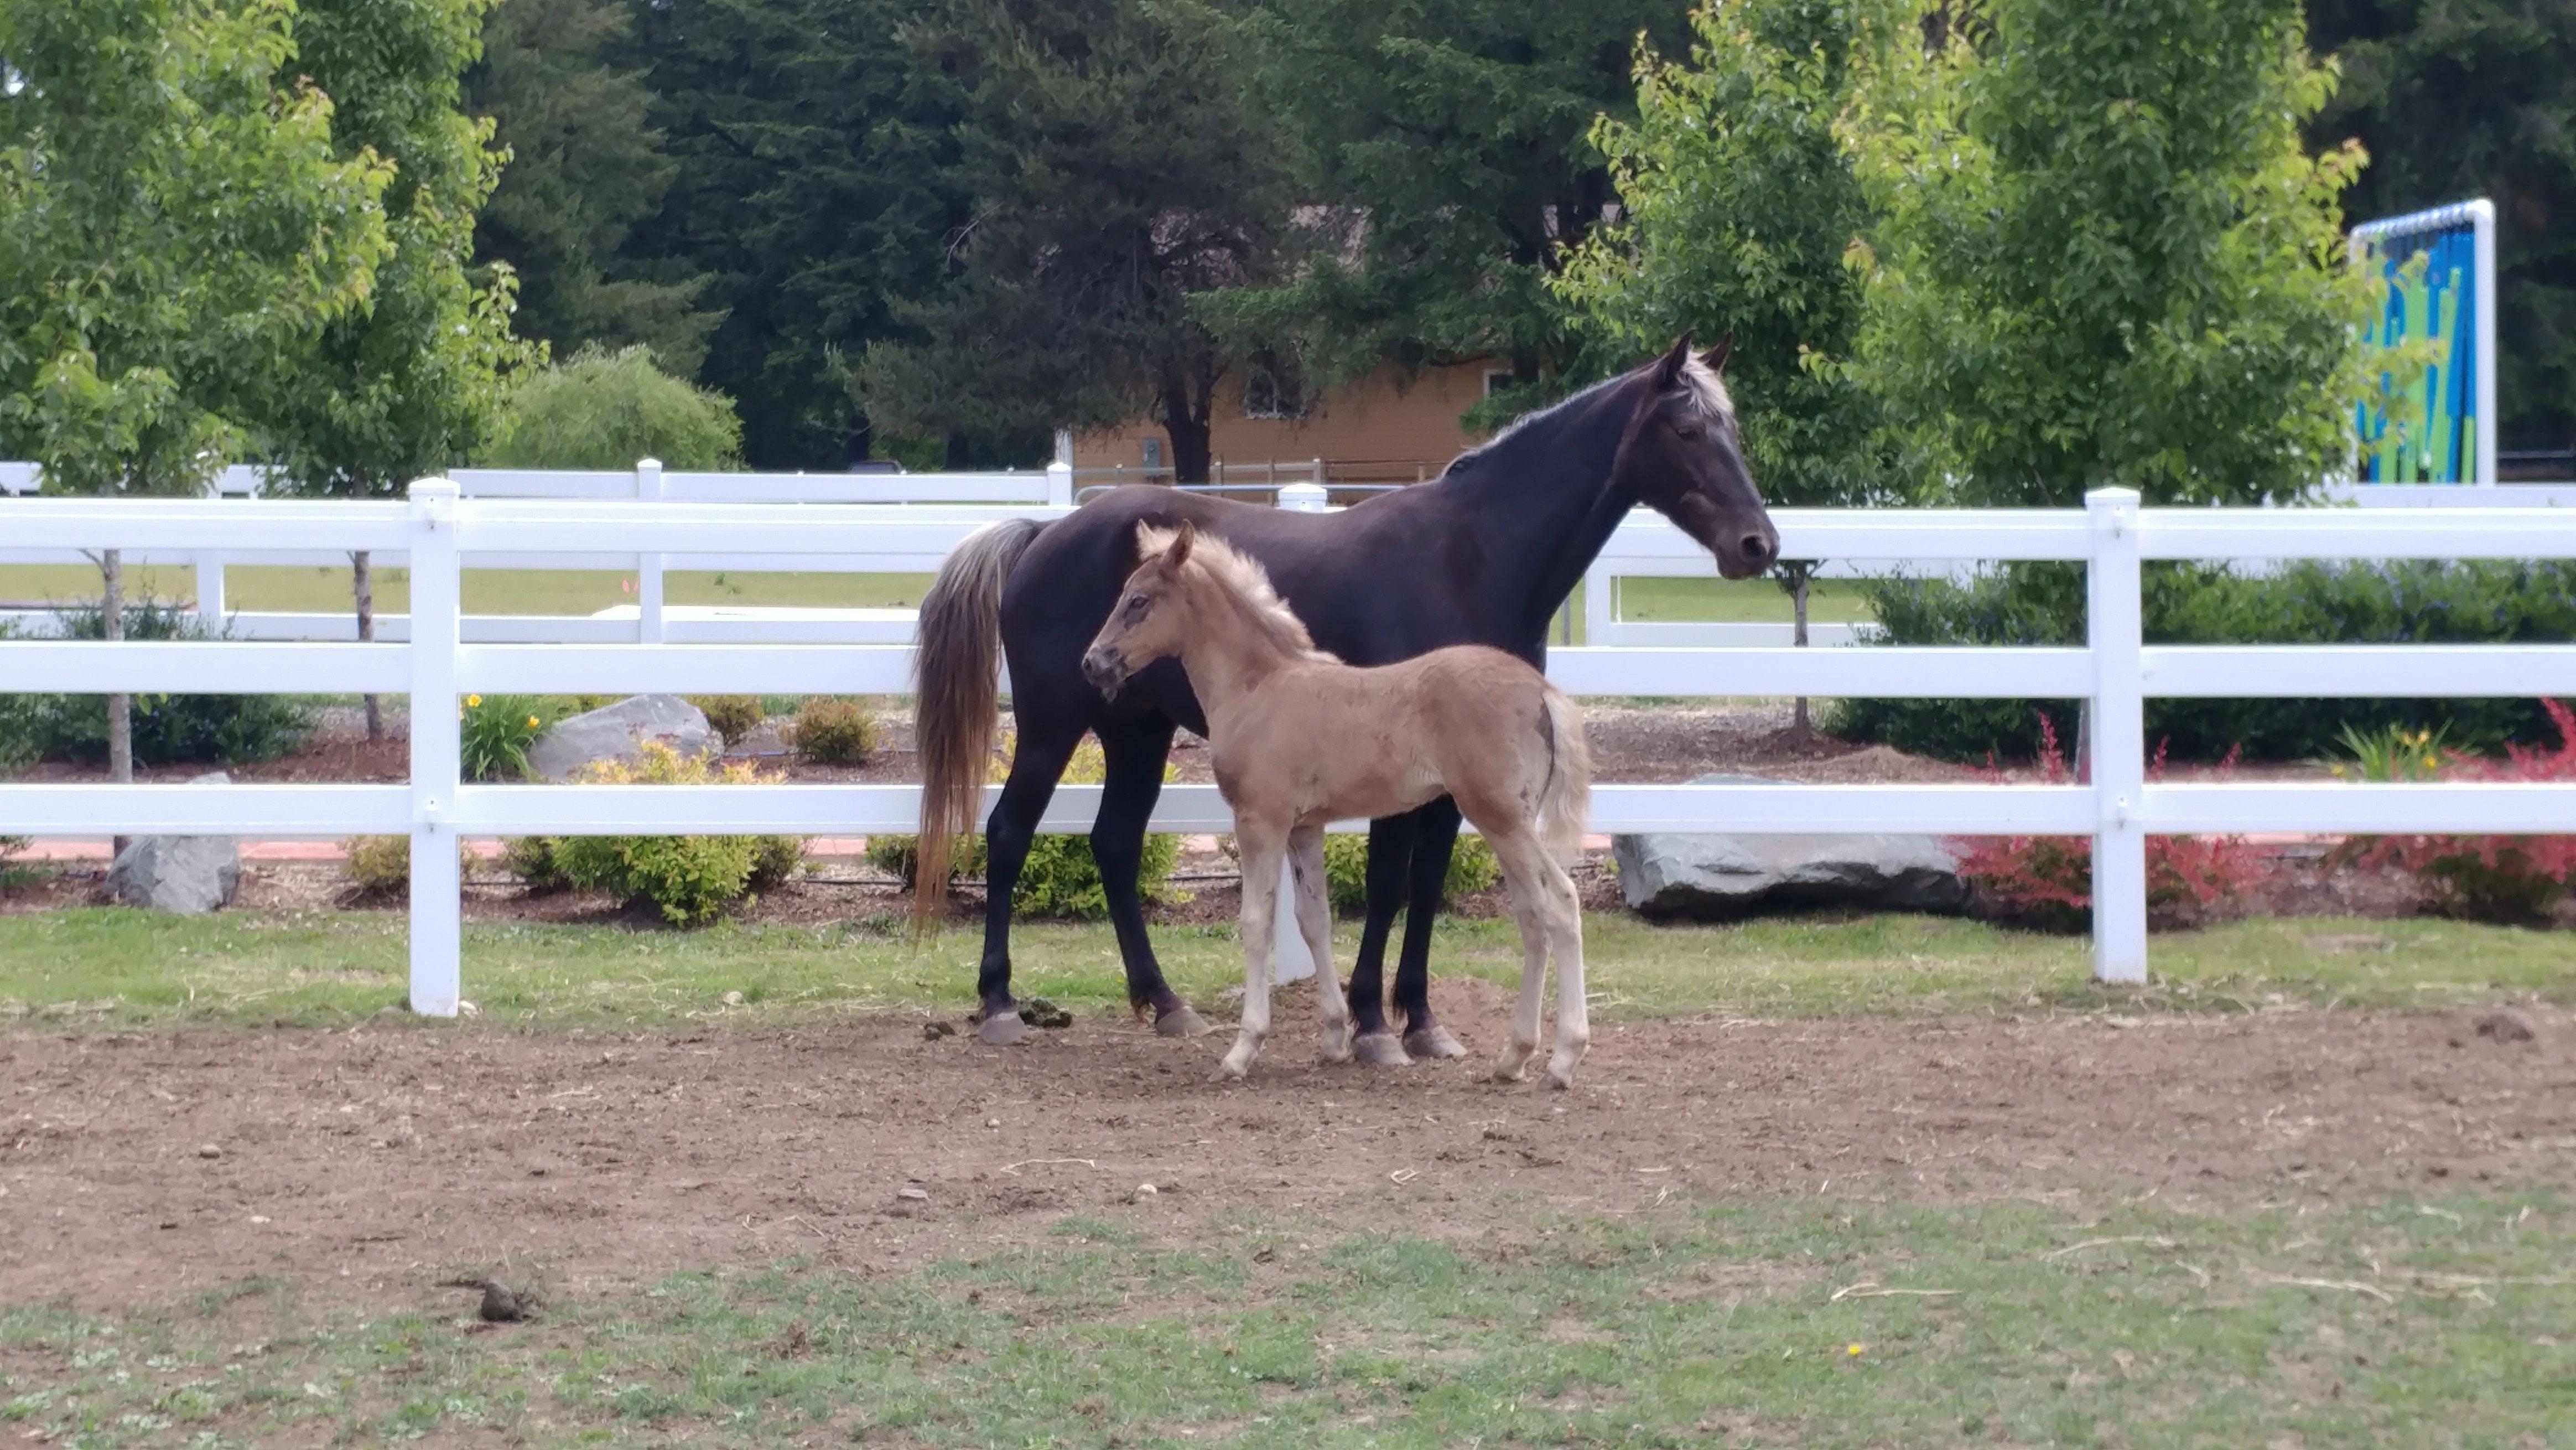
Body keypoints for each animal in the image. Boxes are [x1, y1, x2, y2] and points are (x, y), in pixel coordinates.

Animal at [1081, 520, 1596, 1087]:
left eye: (1138, 601)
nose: (1093, 664)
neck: (1259, 689)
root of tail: (1543, 689)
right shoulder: (1305, 828)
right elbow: (1314, 920)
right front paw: (1333, 1038)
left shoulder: (1260, 820)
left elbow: (1256, 922)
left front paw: (1243, 1049)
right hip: (1508, 820)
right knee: (1533, 917)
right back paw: (1514, 1057)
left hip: (1501, 817)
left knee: (1561, 902)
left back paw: (1564, 1058)